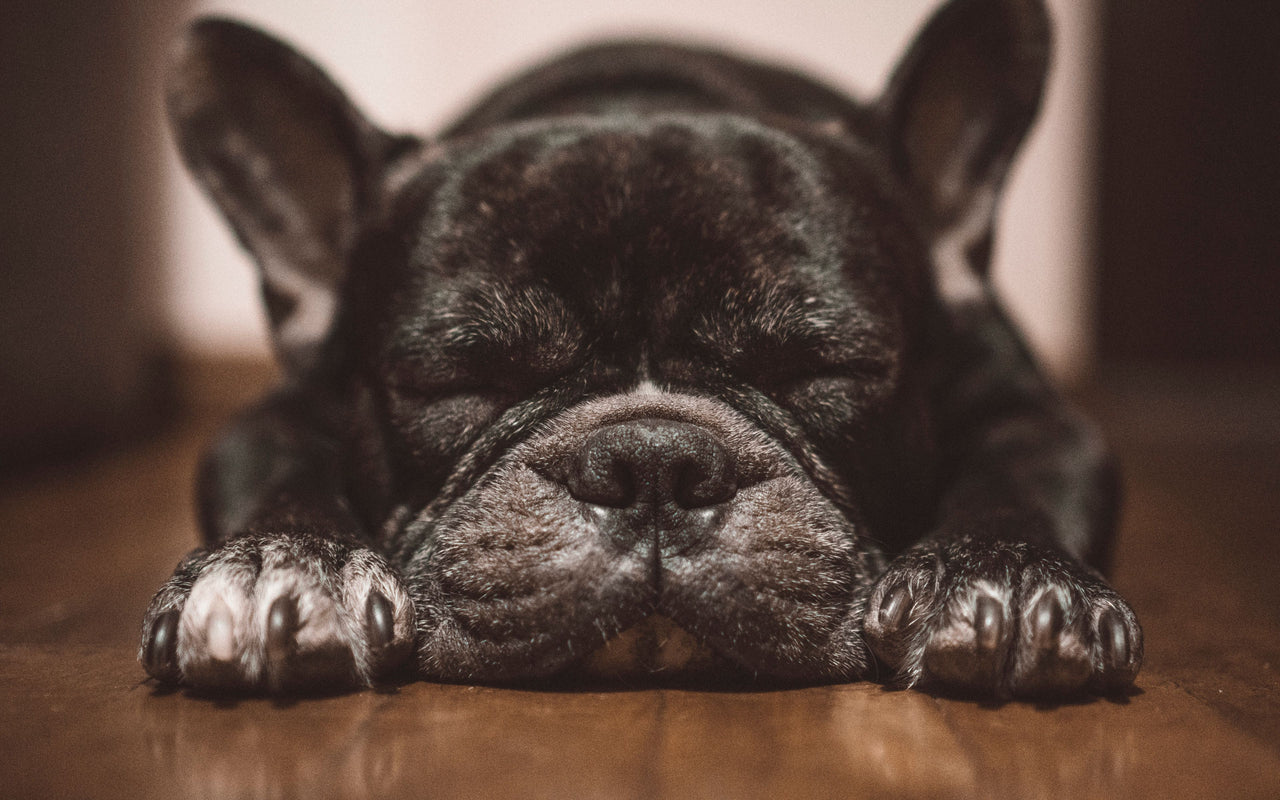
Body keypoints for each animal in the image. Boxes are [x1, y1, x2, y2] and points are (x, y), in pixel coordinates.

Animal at [140, 0, 1141, 696]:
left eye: (823, 370)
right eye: (457, 383)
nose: (654, 462)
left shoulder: (1032, 415)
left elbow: (1014, 485)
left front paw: (1006, 580)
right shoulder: (270, 421)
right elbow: (282, 482)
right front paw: (281, 567)